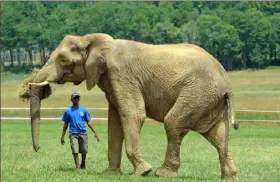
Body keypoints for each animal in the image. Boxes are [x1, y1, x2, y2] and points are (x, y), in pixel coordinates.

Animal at [20, 32, 238, 179]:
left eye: (63, 60)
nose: (37, 149)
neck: (91, 40)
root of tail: (227, 82)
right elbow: (114, 122)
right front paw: (110, 173)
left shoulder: (122, 75)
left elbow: (132, 114)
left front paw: (143, 172)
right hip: (209, 99)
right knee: (217, 134)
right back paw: (229, 176)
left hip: (198, 92)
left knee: (173, 124)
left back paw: (162, 173)